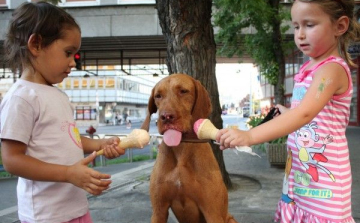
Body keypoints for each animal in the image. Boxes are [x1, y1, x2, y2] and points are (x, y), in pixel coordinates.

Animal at [141, 73, 239, 223]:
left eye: (183, 91)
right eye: (158, 96)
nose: (166, 117)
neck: (181, 147)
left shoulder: (213, 212)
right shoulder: (159, 211)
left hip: (230, 218)